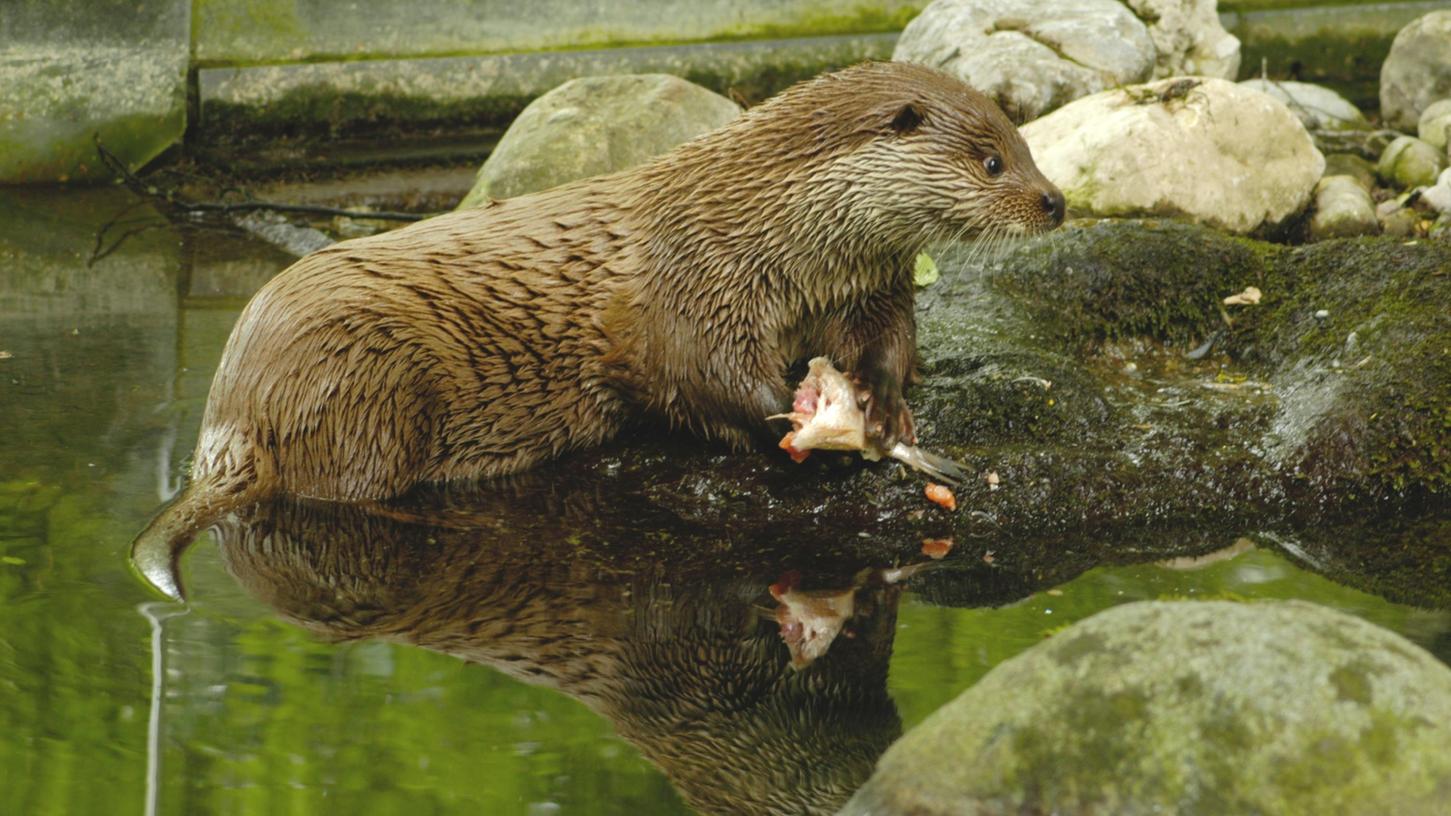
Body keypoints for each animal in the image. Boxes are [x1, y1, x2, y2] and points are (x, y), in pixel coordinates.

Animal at [133, 62, 1067, 598]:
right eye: (992, 161)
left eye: (1026, 145)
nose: (1054, 200)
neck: (773, 236)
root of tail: (231, 409)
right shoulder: (690, 291)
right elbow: (700, 379)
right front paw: (806, 432)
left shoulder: (872, 285)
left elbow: (889, 348)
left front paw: (880, 405)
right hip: (363, 381)